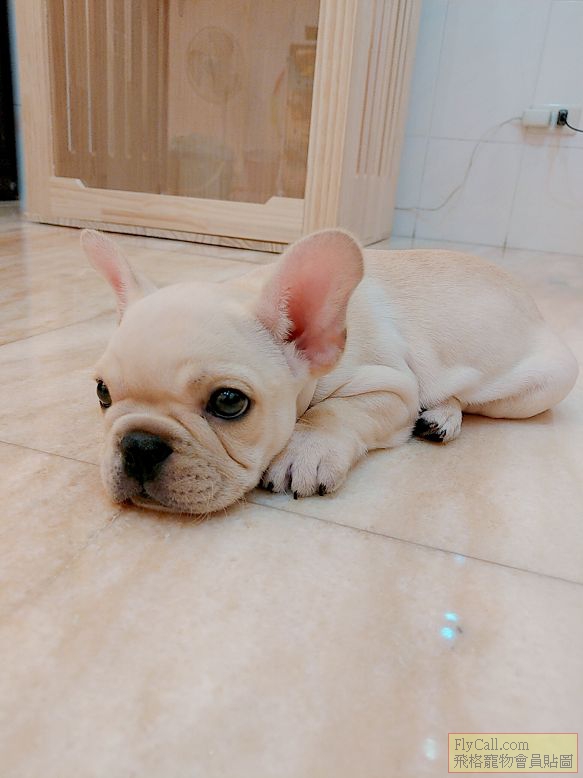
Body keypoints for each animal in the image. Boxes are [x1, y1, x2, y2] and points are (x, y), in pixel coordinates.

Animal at [82, 228, 578, 514]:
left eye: (229, 402)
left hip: (532, 390)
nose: (139, 444)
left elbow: (337, 411)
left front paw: (306, 448)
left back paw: (445, 414)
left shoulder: (393, 387)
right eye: (103, 393)